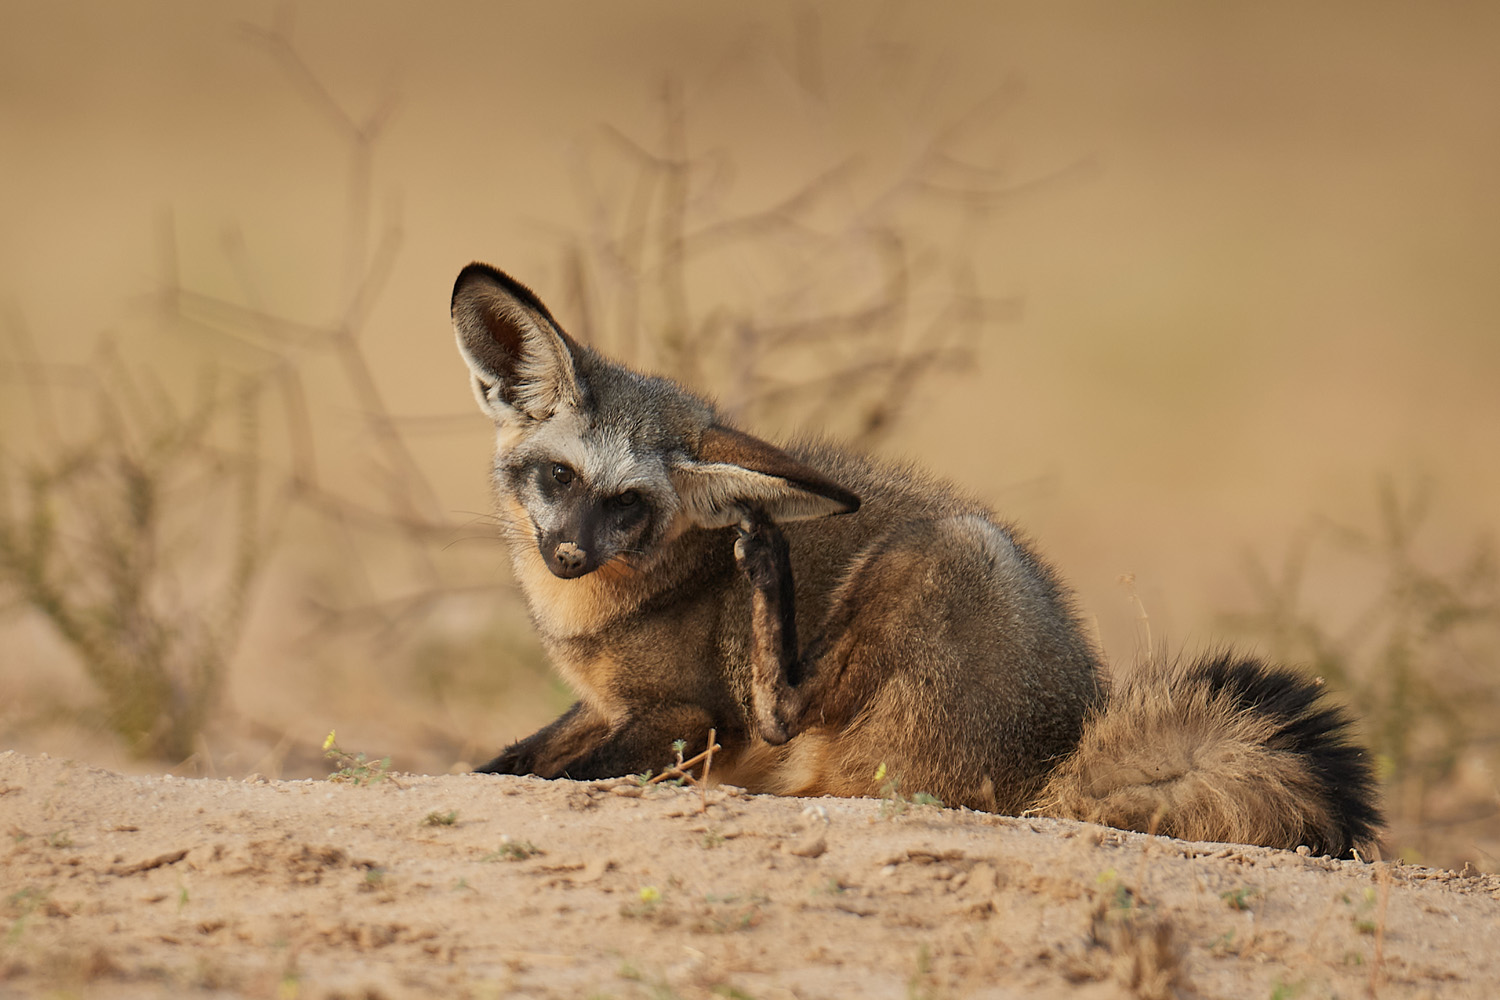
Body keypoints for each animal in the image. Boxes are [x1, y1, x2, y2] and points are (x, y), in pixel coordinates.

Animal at [447, 262, 1380, 857]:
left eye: (629, 505)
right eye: (560, 477)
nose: (568, 553)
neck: (603, 614)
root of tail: (1057, 762)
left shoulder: (689, 719)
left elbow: (567, 775)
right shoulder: (600, 707)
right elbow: (507, 759)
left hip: (949, 550)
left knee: (781, 707)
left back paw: (767, 567)